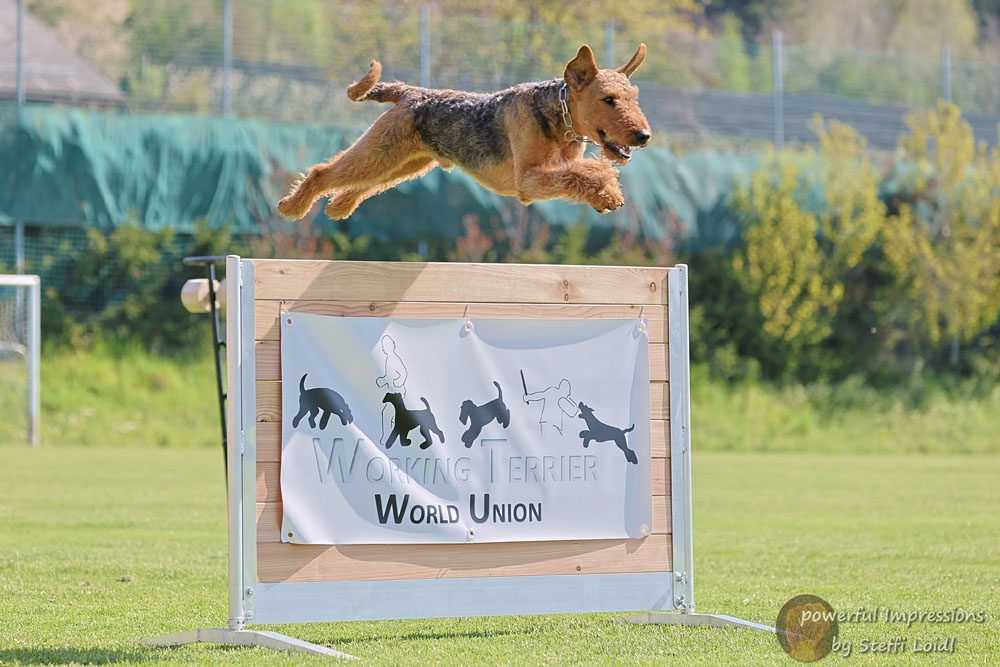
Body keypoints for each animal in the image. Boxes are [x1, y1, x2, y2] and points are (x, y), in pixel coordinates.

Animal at [278, 45, 652, 222]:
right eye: (608, 99)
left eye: (634, 97)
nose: (644, 135)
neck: (556, 116)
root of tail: (410, 92)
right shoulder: (529, 180)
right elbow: (587, 171)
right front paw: (607, 188)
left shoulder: (548, 171)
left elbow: (579, 170)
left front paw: (607, 196)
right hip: (381, 151)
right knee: (323, 172)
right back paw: (292, 206)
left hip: (405, 163)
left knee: (359, 186)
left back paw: (338, 208)